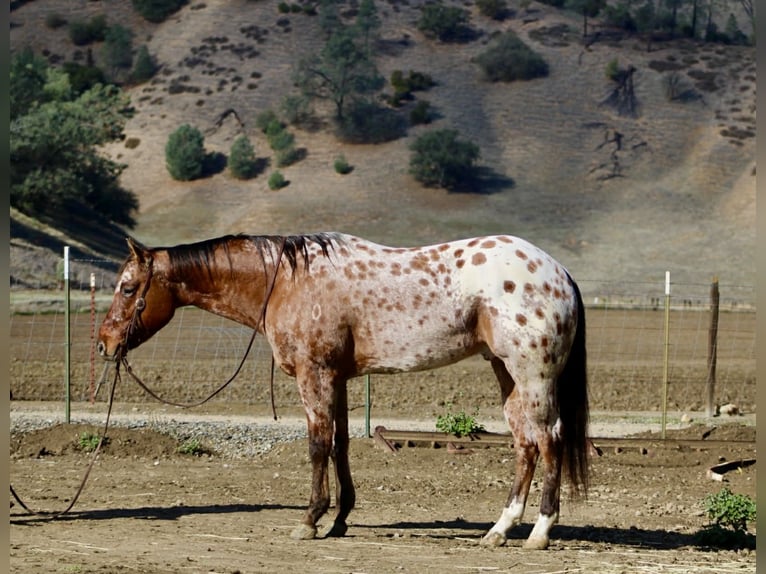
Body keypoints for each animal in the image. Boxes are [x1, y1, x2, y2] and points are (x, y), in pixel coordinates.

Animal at [97, 232, 589, 550]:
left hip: (531, 376)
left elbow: (317, 445)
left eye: (128, 288)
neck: (285, 281)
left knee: (550, 440)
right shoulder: (338, 379)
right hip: (507, 375)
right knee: (525, 444)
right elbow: (340, 445)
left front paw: (310, 520)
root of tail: (560, 272)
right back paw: (499, 530)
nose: (104, 343)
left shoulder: (314, 376)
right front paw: (339, 519)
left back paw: (540, 533)